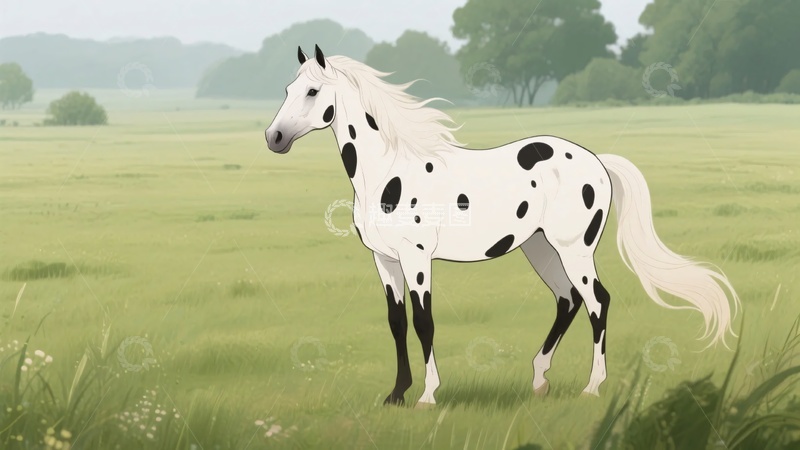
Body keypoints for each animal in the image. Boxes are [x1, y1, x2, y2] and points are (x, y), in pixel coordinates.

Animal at [264, 45, 740, 408]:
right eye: (287, 89)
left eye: (312, 91)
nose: (274, 138)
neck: (389, 172)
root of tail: (598, 163)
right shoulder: (384, 260)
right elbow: (396, 322)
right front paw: (396, 394)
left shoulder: (416, 259)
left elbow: (424, 321)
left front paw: (428, 396)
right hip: (540, 249)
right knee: (567, 300)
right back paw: (539, 380)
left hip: (574, 249)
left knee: (597, 301)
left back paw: (591, 387)